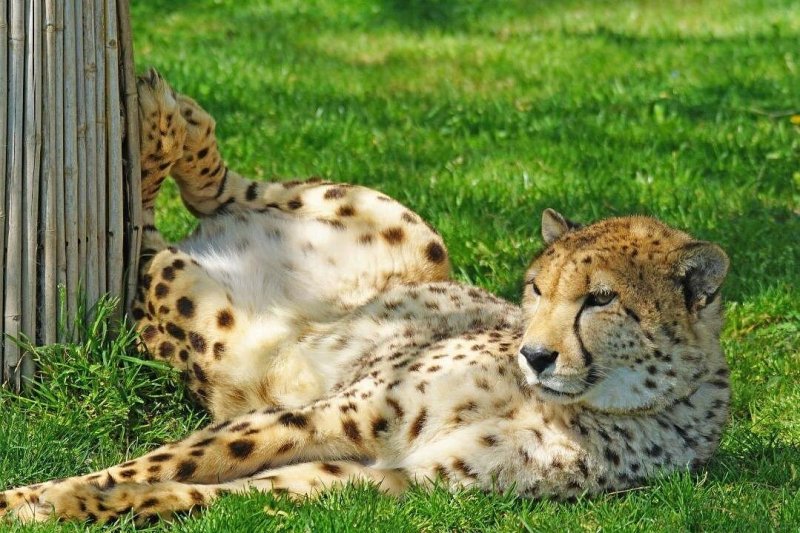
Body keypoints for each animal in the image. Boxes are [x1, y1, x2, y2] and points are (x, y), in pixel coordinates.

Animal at [0, 70, 731, 524]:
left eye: (600, 299)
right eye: (536, 288)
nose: (536, 354)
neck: (571, 407)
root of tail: (210, 244)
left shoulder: (391, 477)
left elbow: (203, 490)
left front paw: (65, 506)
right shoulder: (347, 410)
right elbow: (165, 462)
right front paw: (34, 497)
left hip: (197, 313)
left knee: (151, 241)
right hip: (402, 226)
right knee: (215, 190)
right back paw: (164, 120)